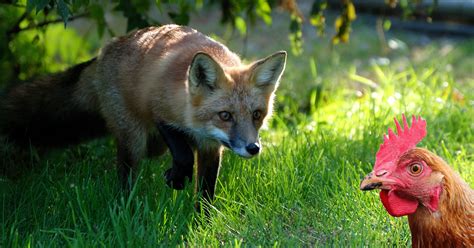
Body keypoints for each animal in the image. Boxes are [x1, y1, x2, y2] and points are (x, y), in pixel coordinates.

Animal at [0, 24, 286, 205]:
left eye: (257, 114)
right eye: (225, 115)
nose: (252, 148)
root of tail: (103, 53)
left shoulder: (210, 148)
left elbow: (206, 191)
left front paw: (202, 219)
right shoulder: (160, 111)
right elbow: (183, 155)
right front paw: (176, 178)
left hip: (152, 145)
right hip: (134, 139)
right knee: (127, 174)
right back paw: (124, 207)